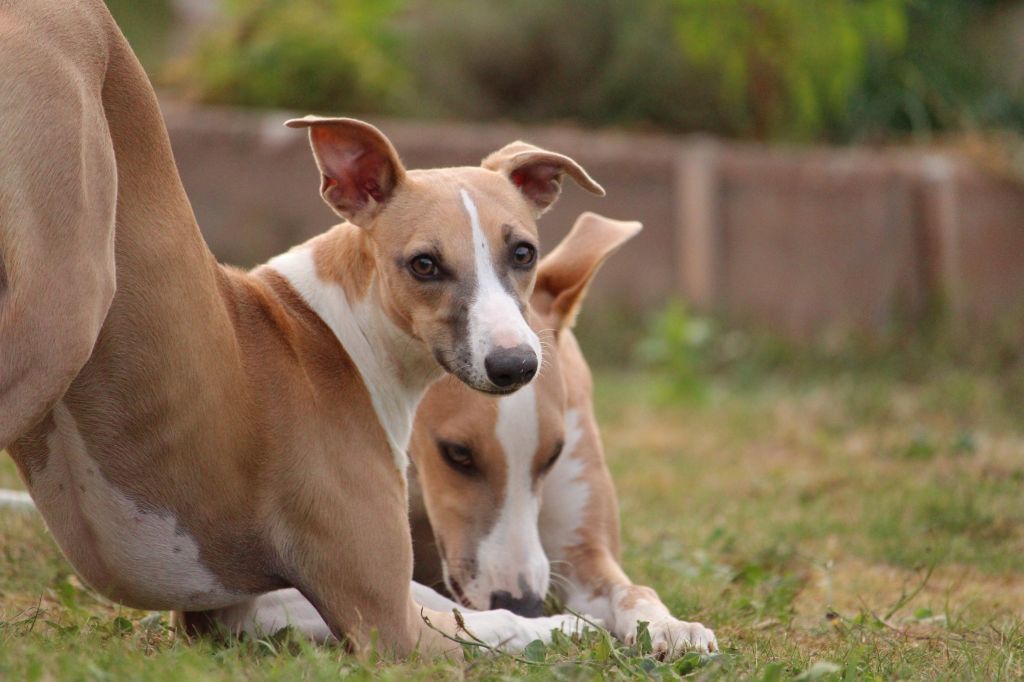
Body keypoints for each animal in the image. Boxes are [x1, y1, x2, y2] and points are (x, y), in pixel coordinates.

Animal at [2, 0, 606, 659]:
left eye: (523, 253)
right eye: (424, 264)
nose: (516, 364)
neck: (340, 334)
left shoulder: (226, 612)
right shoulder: (389, 625)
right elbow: (485, 623)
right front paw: (570, 625)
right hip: (59, 314)